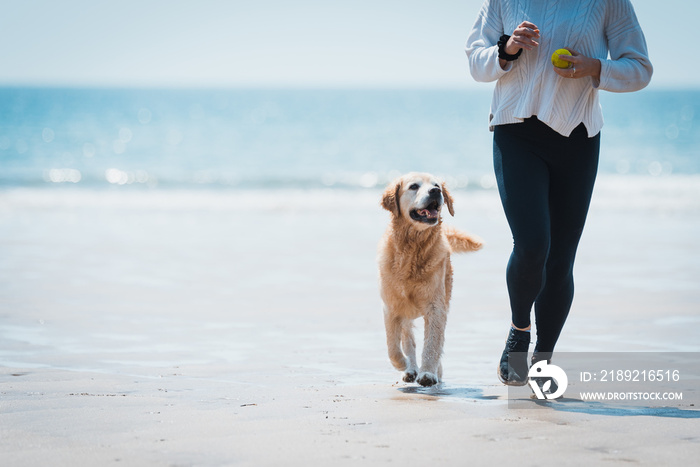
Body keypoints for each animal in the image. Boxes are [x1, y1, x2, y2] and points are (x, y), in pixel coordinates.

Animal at [378, 173, 482, 388]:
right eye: (414, 186)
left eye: (436, 185)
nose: (436, 191)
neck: (412, 250)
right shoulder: (391, 307)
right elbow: (392, 346)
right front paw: (403, 364)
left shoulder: (436, 307)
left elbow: (433, 343)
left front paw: (428, 373)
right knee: (407, 340)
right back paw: (410, 368)